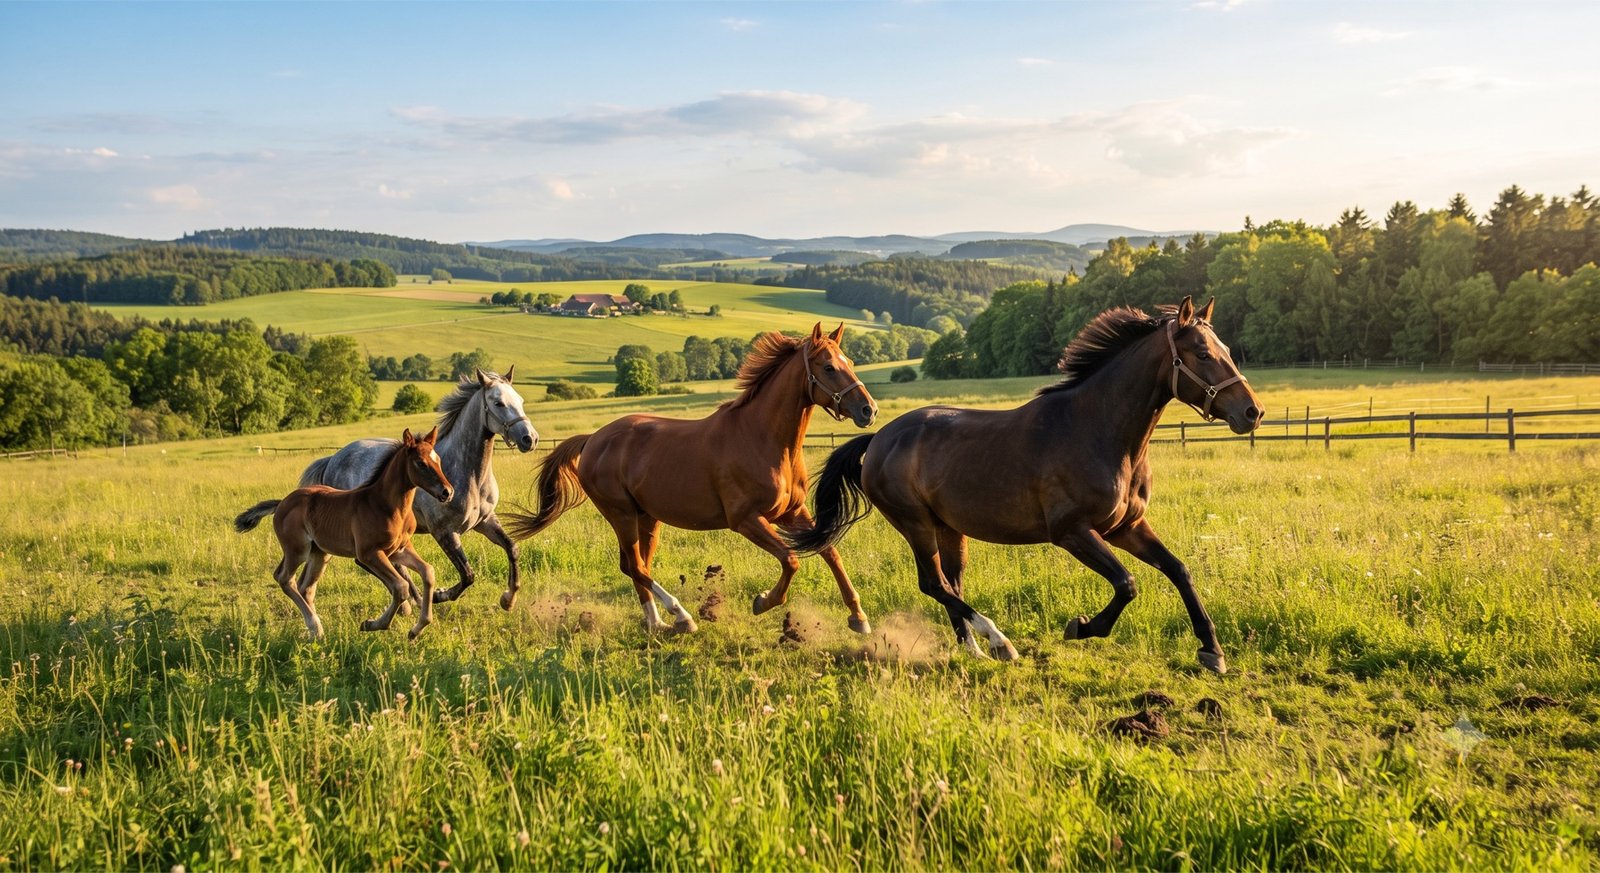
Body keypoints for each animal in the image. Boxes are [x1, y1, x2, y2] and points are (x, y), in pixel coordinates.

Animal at [234, 426, 455, 641]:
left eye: (438, 460)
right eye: (420, 463)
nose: (447, 492)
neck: (385, 505)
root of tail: (282, 503)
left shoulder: (398, 550)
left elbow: (428, 571)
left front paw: (417, 628)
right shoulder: (369, 554)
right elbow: (400, 586)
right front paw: (372, 624)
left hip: (319, 553)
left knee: (305, 587)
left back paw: (315, 631)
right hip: (297, 550)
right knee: (284, 578)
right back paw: (315, 626)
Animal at [299, 368, 537, 610]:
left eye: (520, 400)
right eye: (498, 403)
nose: (530, 439)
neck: (469, 475)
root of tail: (332, 459)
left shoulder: (486, 521)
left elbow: (512, 548)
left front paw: (508, 600)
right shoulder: (444, 532)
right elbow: (467, 575)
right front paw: (441, 594)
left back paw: (412, 601)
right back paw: (411, 602)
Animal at [503, 323, 879, 634]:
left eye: (850, 362)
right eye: (829, 367)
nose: (869, 410)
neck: (762, 439)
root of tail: (593, 439)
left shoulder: (793, 513)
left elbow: (830, 551)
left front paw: (858, 618)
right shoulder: (746, 520)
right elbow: (791, 560)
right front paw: (763, 602)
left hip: (647, 518)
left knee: (635, 566)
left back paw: (657, 624)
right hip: (620, 514)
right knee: (635, 566)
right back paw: (681, 616)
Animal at [789, 297, 1262, 673]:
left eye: (1223, 350)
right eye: (1201, 354)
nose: (1251, 413)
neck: (1099, 432)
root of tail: (878, 438)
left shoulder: (1126, 527)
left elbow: (1179, 570)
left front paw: (1212, 652)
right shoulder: (1073, 532)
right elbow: (1127, 583)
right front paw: (1082, 627)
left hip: (948, 528)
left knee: (950, 585)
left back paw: (976, 650)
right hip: (915, 525)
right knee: (934, 585)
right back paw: (1000, 643)